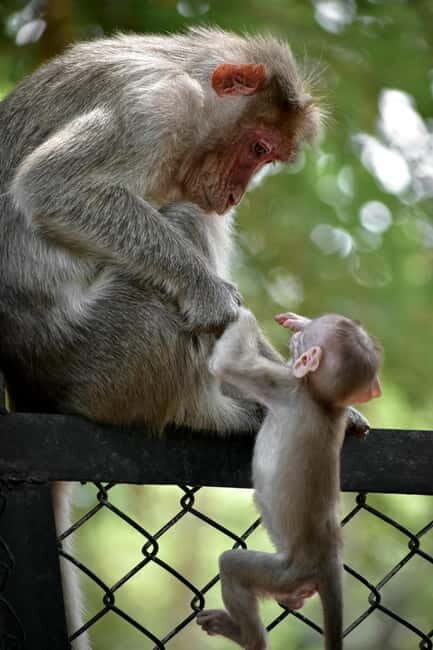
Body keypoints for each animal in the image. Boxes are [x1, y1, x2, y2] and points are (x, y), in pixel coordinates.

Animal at [197, 308, 382, 650]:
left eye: (299, 347)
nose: (295, 342)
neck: (323, 401)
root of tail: (329, 559)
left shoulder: (284, 386)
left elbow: (229, 365)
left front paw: (242, 313)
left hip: (286, 571)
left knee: (233, 566)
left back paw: (245, 636)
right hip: (293, 580)